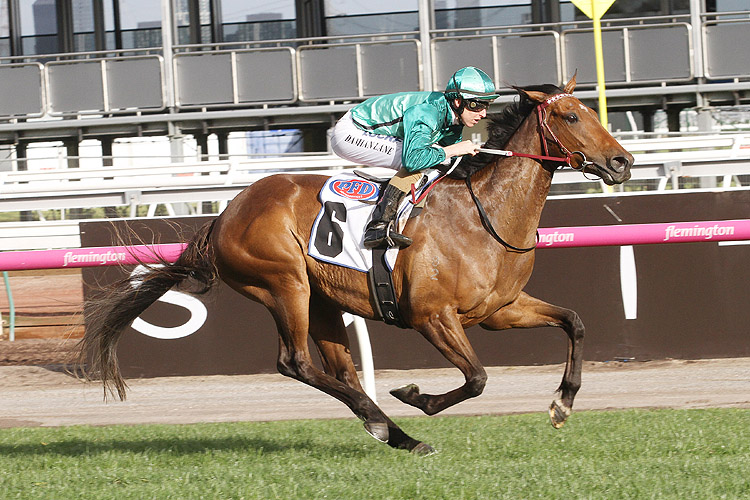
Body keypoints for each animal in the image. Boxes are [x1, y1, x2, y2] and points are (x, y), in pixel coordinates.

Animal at [79, 76, 636, 456]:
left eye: (591, 111)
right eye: (571, 118)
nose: (622, 163)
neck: (483, 215)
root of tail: (224, 215)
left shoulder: (500, 310)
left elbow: (574, 322)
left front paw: (562, 404)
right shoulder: (432, 316)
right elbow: (477, 377)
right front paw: (416, 395)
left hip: (322, 300)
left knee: (340, 371)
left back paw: (393, 431)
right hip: (285, 284)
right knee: (295, 363)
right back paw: (388, 423)